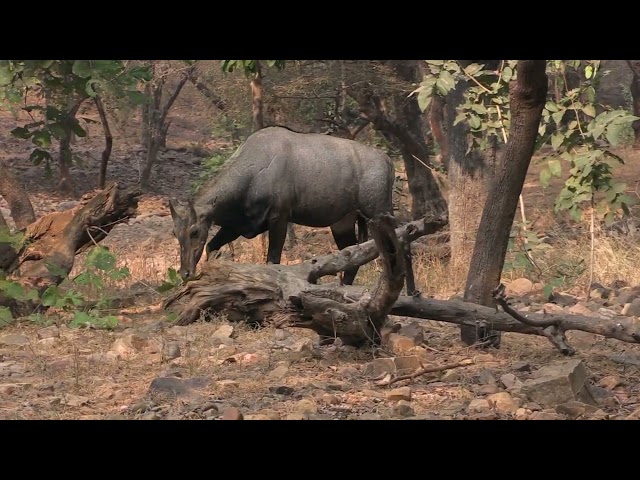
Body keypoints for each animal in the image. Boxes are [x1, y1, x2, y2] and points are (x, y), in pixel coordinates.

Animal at [169, 126, 396, 285]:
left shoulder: (279, 217)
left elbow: (273, 260)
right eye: (175, 233)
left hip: (378, 214)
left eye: (194, 231)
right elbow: (211, 247)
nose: (185, 273)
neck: (254, 170)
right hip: (342, 224)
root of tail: (387, 161)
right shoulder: (237, 226)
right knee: (351, 255)